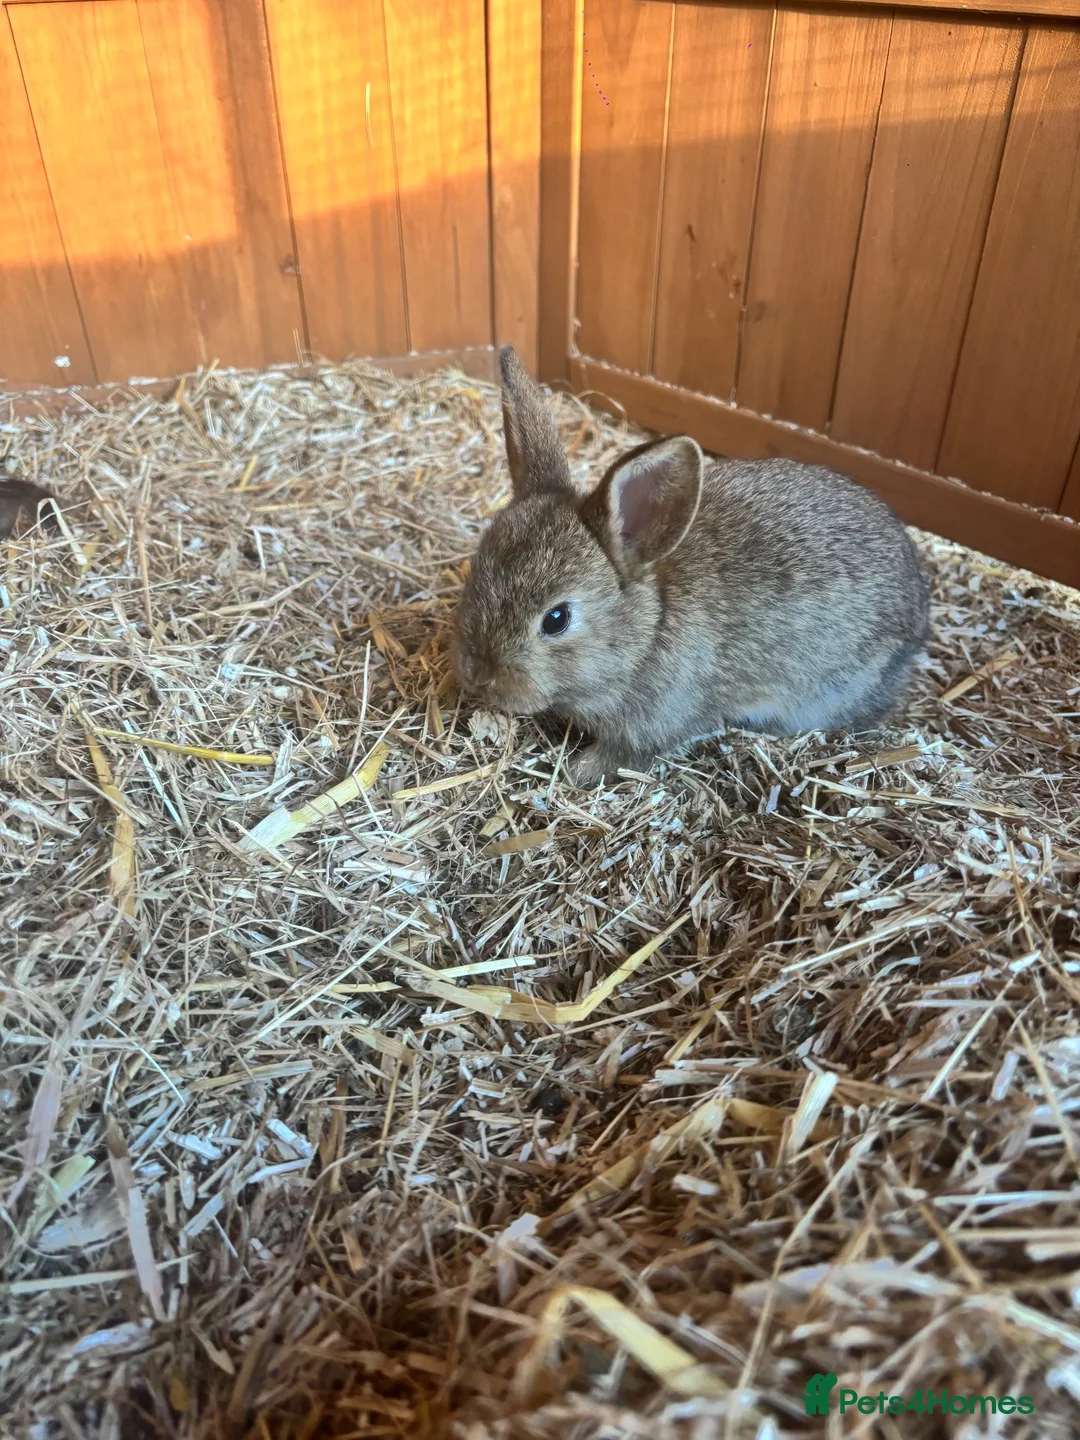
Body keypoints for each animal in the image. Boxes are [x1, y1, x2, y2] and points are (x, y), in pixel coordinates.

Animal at [453, 346, 930, 788]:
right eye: (477, 572)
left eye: (556, 619)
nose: (477, 674)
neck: (646, 632)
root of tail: (920, 612)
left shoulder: (650, 726)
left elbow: (625, 756)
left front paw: (578, 771)